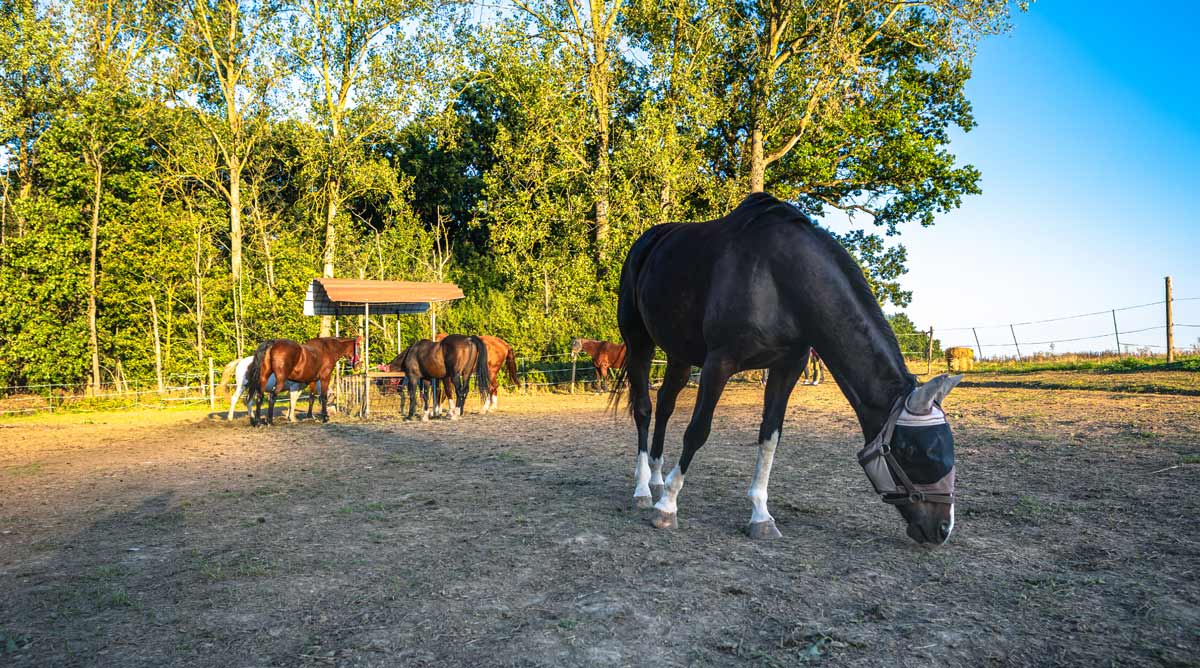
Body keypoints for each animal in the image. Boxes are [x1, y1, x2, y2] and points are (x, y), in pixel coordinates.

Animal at [614, 191, 960, 542]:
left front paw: (760, 515)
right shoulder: (718, 363)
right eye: (913, 451)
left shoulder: (787, 368)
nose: (942, 529)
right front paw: (668, 507)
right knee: (644, 410)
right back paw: (644, 489)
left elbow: (770, 438)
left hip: (680, 355)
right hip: (640, 342)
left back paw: (657, 478)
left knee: (665, 406)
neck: (778, 280)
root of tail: (647, 242)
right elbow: (697, 431)